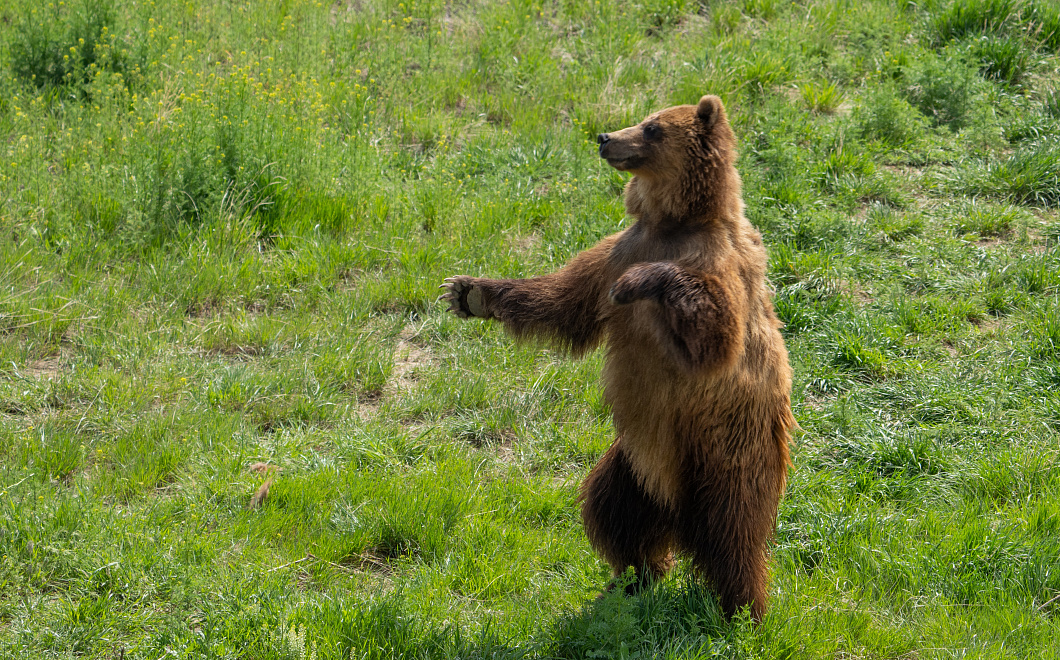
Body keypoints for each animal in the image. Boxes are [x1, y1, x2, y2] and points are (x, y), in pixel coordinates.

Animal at [440, 95, 795, 622]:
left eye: (652, 128)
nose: (606, 137)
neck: (674, 222)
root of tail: (678, 516)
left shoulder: (715, 262)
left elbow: (716, 338)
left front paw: (639, 284)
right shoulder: (620, 248)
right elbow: (565, 301)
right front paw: (469, 292)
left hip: (726, 451)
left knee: (734, 531)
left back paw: (740, 610)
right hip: (635, 465)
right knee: (612, 510)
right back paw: (630, 580)